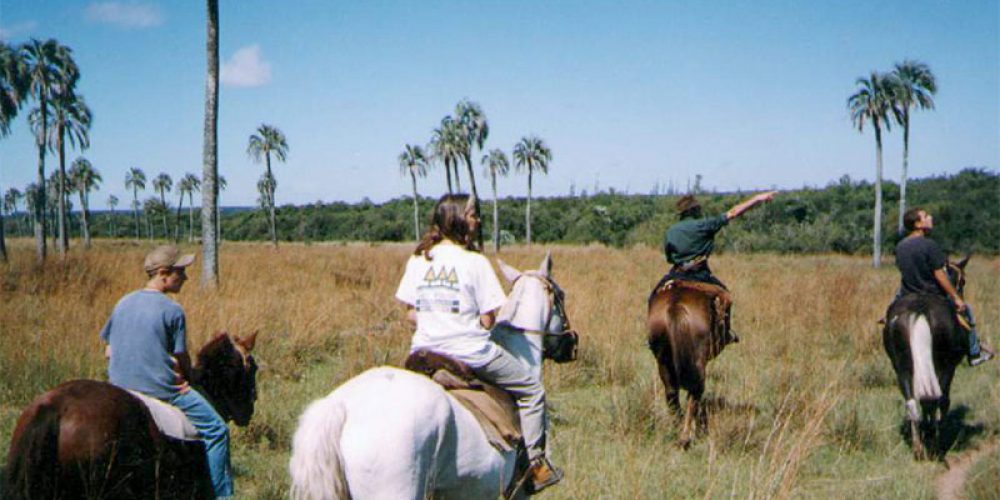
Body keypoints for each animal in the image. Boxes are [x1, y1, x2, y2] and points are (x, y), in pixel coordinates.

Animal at [644, 282, 732, 450]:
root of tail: (676, 306)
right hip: (698, 365)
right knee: (694, 394)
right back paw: (685, 437)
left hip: (663, 362)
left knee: (672, 394)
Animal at [884, 258, 968, 460]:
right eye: (962, 281)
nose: (961, 303)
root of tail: (919, 309)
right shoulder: (950, 367)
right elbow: (943, 402)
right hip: (942, 366)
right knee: (937, 400)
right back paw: (935, 444)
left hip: (902, 368)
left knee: (913, 402)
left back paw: (918, 447)